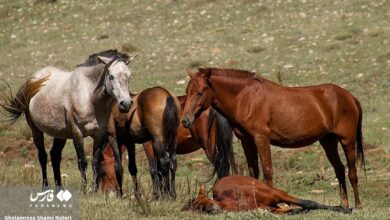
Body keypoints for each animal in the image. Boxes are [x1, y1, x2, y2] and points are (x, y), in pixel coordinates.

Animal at [0, 49, 136, 191]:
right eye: (111, 76)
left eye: (129, 76)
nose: (126, 104)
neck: (89, 97)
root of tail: (32, 81)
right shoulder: (77, 134)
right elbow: (82, 162)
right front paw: (84, 190)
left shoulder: (99, 135)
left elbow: (95, 162)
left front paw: (94, 190)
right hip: (35, 130)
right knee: (43, 156)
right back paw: (45, 187)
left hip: (60, 134)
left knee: (55, 156)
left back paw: (60, 188)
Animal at [181, 68, 364, 209]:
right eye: (187, 92)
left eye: (200, 92)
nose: (185, 120)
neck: (245, 98)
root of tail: (349, 97)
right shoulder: (247, 141)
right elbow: (253, 172)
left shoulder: (261, 138)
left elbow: (267, 170)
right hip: (328, 141)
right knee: (339, 169)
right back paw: (344, 204)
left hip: (347, 141)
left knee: (352, 172)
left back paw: (357, 206)